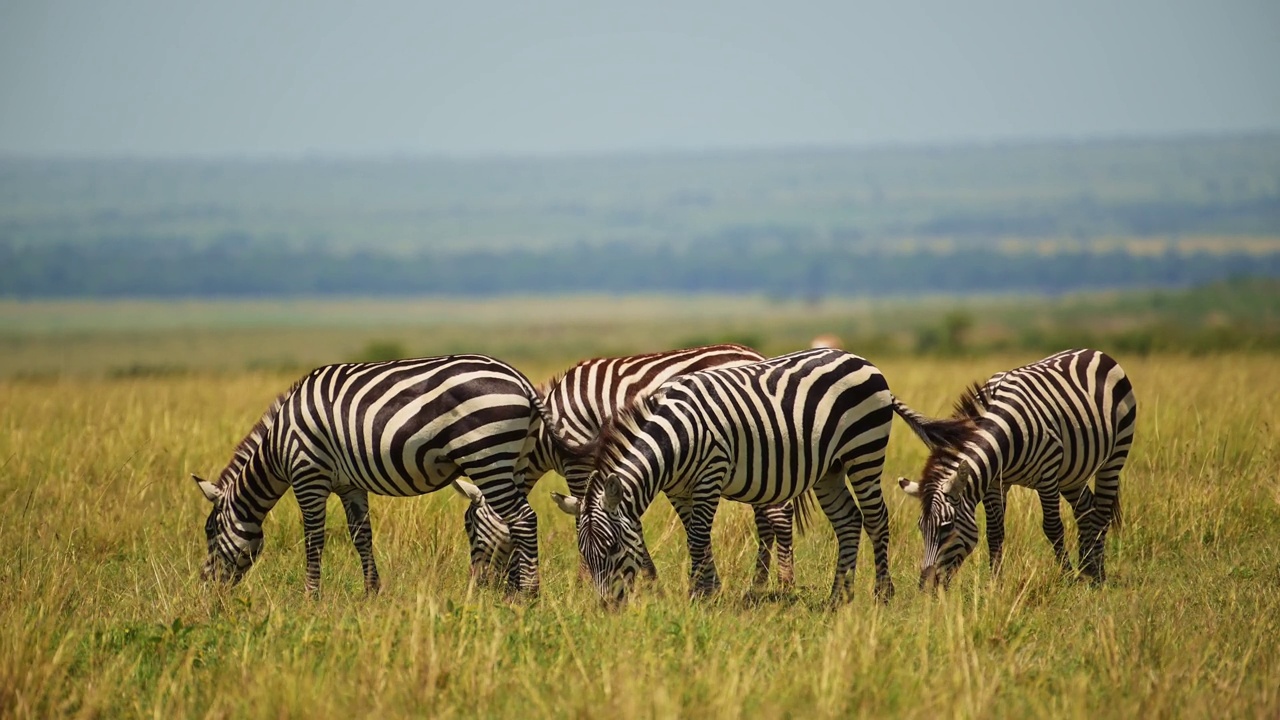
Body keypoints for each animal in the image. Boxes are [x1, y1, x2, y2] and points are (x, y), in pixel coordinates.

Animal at [192, 353, 568, 594]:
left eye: (209, 531)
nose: (206, 586)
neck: (278, 446)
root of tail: (520, 379)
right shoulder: (349, 485)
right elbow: (362, 536)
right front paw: (372, 592)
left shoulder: (307, 475)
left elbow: (313, 539)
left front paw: (310, 597)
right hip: (515, 460)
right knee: (512, 521)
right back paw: (516, 591)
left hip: (486, 456)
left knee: (523, 518)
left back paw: (530, 595)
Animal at [455, 345, 814, 586]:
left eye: (469, 528)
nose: (478, 585)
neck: (546, 429)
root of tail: (755, 355)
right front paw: (649, 578)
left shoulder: (580, 464)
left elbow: (584, 516)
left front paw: (585, 580)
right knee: (766, 517)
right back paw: (760, 582)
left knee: (779, 514)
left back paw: (784, 582)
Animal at [552, 345, 901, 602]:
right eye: (584, 553)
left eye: (612, 548)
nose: (607, 607)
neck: (674, 436)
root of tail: (857, 358)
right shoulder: (680, 489)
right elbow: (696, 537)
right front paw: (709, 590)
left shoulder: (710, 474)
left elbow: (697, 537)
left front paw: (699, 595)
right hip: (831, 468)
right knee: (848, 521)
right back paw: (839, 597)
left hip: (864, 450)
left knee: (875, 518)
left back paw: (882, 594)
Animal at [890, 348, 1141, 589]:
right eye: (921, 528)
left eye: (946, 527)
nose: (925, 588)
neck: (1005, 435)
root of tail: (1095, 352)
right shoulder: (994, 483)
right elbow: (995, 532)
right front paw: (995, 584)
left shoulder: (1047, 475)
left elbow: (1053, 527)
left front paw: (1068, 578)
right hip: (1073, 473)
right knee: (1086, 508)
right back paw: (1087, 568)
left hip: (1114, 456)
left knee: (1101, 514)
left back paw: (1097, 576)